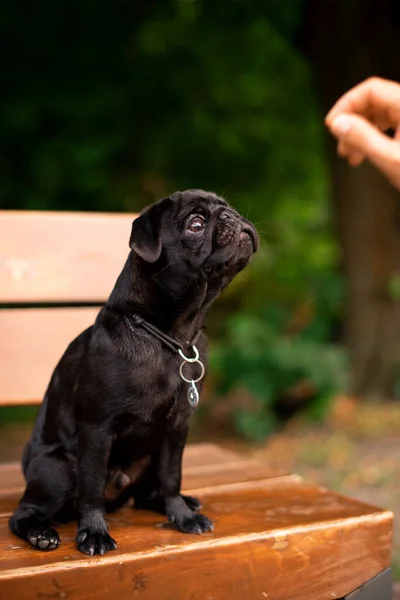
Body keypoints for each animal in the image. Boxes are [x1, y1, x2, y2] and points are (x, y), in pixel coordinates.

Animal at [10, 190, 260, 556]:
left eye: (228, 208)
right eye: (196, 224)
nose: (231, 217)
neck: (171, 338)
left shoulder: (176, 430)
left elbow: (172, 477)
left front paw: (182, 516)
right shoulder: (97, 429)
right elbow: (92, 489)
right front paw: (94, 533)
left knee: (147, 495)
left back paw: (182, 504)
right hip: (58, 468)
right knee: (25, 513)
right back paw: (40, 533)